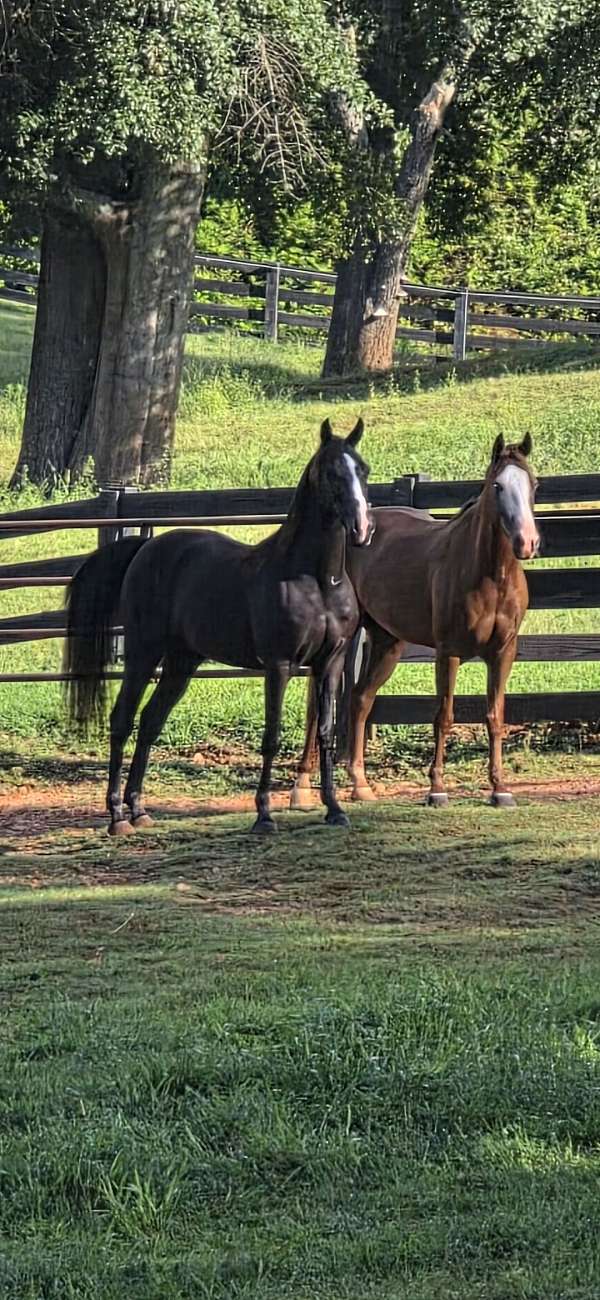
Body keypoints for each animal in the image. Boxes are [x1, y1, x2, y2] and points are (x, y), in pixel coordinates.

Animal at [64, 418, 374, 836]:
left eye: (363, 470)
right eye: (331, 472)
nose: (362, 529)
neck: (317, 580)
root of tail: (145, 549)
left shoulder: (331, 663)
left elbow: (324, 733)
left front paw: (335, 809)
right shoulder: (279, 665)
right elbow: (272, 735)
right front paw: (264, 816)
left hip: (182, 662)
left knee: (150, 721)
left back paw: (139, 809)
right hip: (144, 653)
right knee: (123, 720)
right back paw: (116, 816)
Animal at [291, 433, 540, 810]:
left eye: (534, 485)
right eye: (497, 486)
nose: (527, 542)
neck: (488, 575)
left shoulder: (503, 652)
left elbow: (495, 717)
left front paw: (500, 789)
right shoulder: (448, 652)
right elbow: (444, 716)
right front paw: (436, 789)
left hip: (386, 642)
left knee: (360, 699)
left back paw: (361, 784)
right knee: (317, 709)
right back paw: (302, 788)